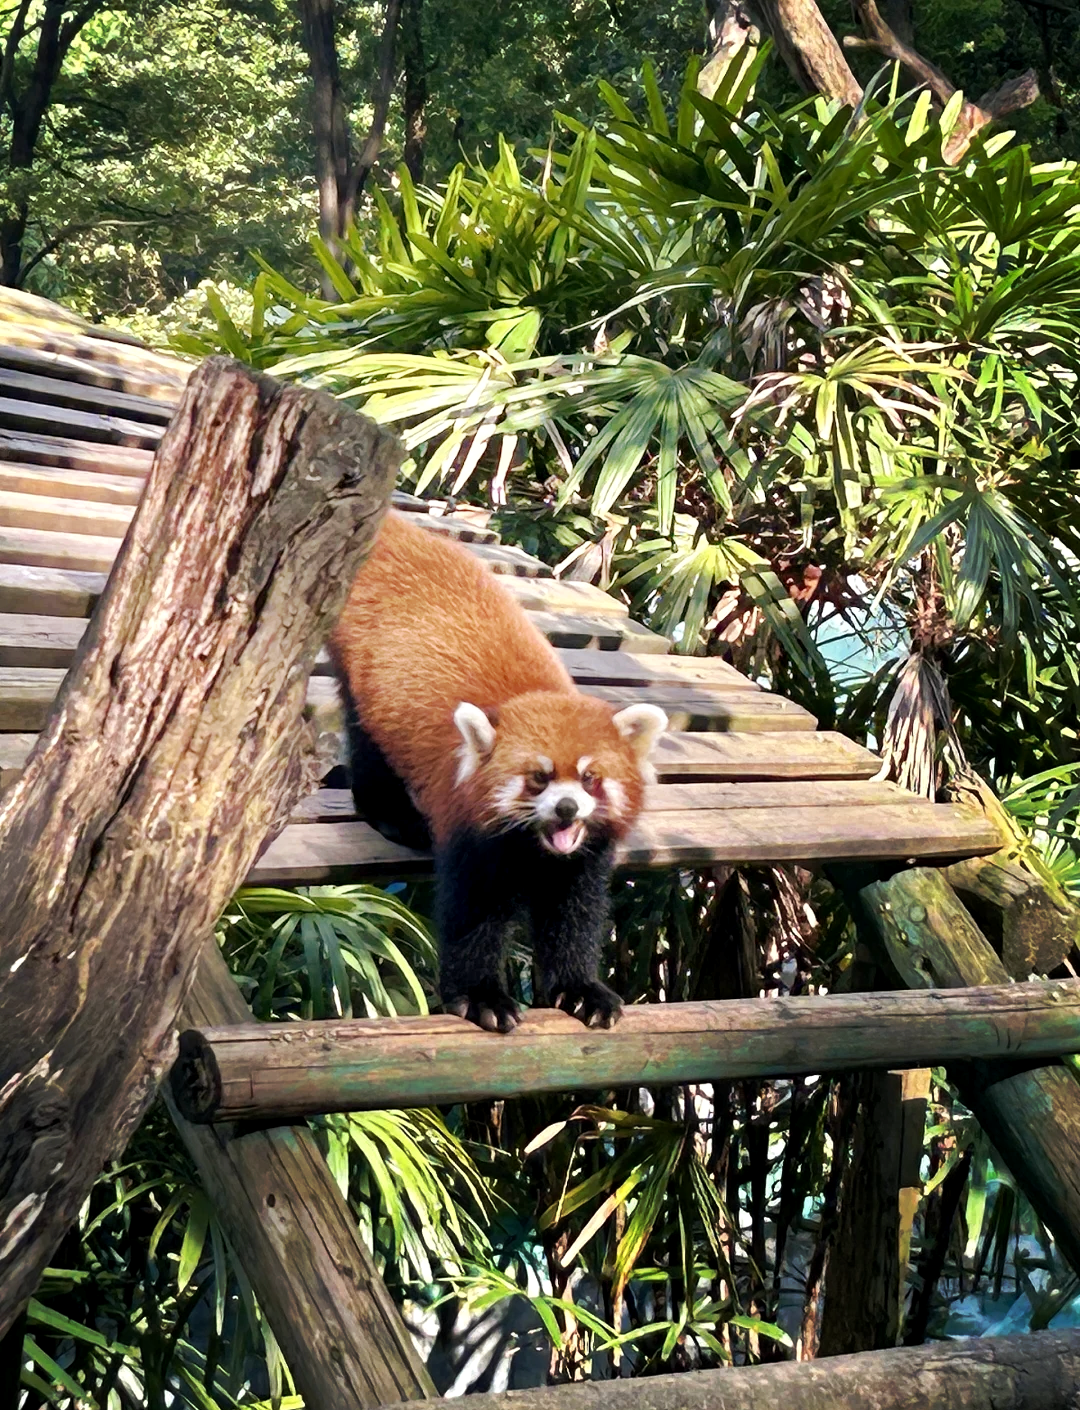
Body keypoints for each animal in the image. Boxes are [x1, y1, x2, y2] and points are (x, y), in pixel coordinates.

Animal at [329, 513, 668, 1032]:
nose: (566, 808)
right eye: (538, 777)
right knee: (366, 740)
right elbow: (473, 915)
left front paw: (580, 989)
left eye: (590, 778)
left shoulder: (582, 857)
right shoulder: (469, 829)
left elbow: (574, 915)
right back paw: (389, 813)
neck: (533, 847)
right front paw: (481, 997)